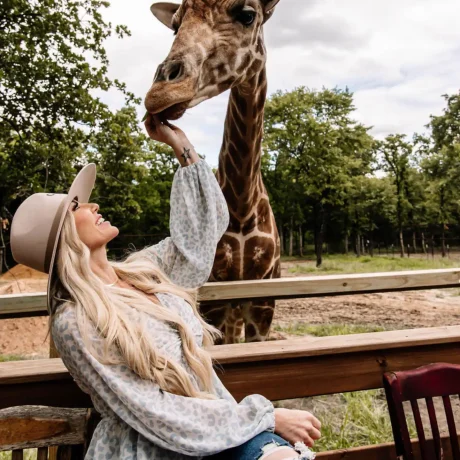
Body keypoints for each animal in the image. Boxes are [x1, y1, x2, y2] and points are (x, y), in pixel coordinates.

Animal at [146, 0, 282, 342]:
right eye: (175, 25)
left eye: (247, 15)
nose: (160, 93)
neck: (244, 207)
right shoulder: (216, 301)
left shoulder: (262, 306)